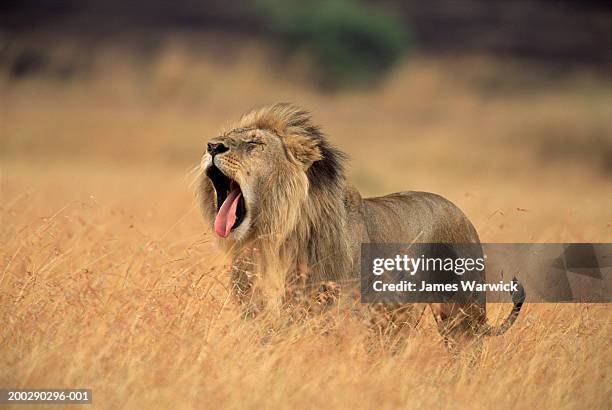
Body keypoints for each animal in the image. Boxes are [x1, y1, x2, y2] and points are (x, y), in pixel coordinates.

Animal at [198, 103, 524, 346]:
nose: (212, 146)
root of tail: (462, 215)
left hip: (462, 316)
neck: (275, 240)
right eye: (224, 137)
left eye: (254, 144)